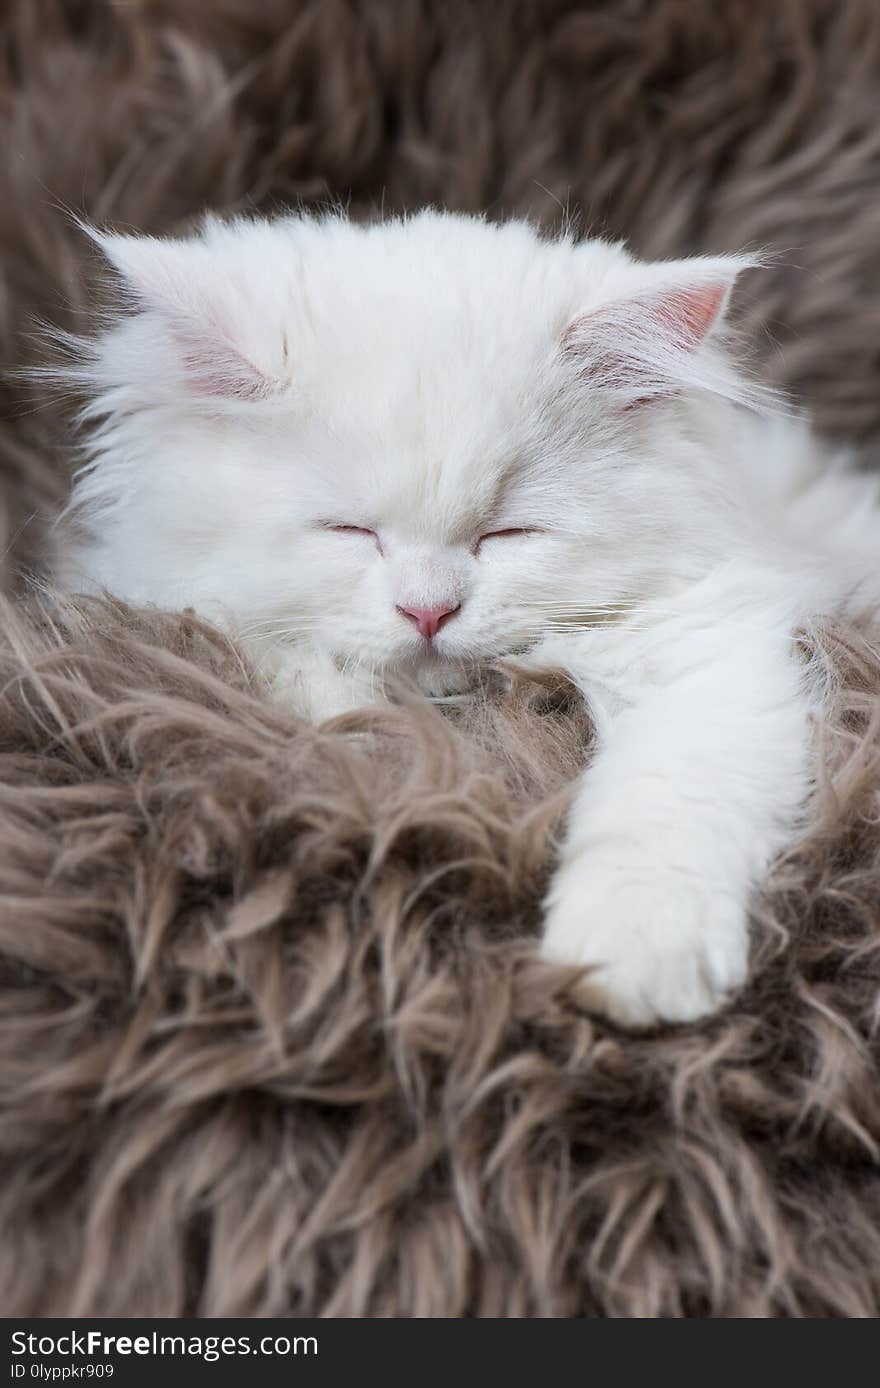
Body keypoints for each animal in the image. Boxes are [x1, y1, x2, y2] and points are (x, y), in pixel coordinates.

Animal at [54, 208, 877, 1032]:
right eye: (350, 531)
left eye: (508, 534)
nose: (428, 610)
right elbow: (307, 684)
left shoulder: (706, 637)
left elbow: (669, 795)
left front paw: (630, 958)